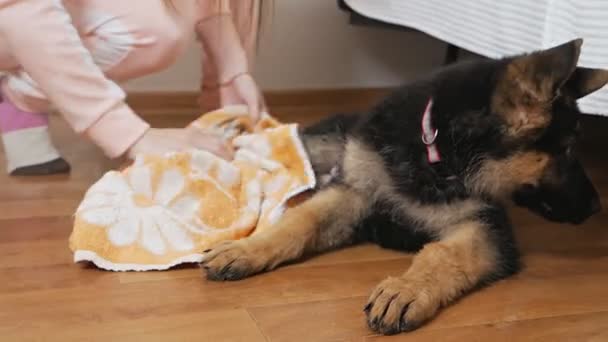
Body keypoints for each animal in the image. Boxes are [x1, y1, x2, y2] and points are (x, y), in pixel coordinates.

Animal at [202, 39, 604, 334]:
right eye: (569, 149)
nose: (597, 208)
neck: (435, 149)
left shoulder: (485, 225)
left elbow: (442, 253)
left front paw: (407, 289)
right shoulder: (355, 192)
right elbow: (301, 220)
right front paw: (248, 247)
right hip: (323, 147)